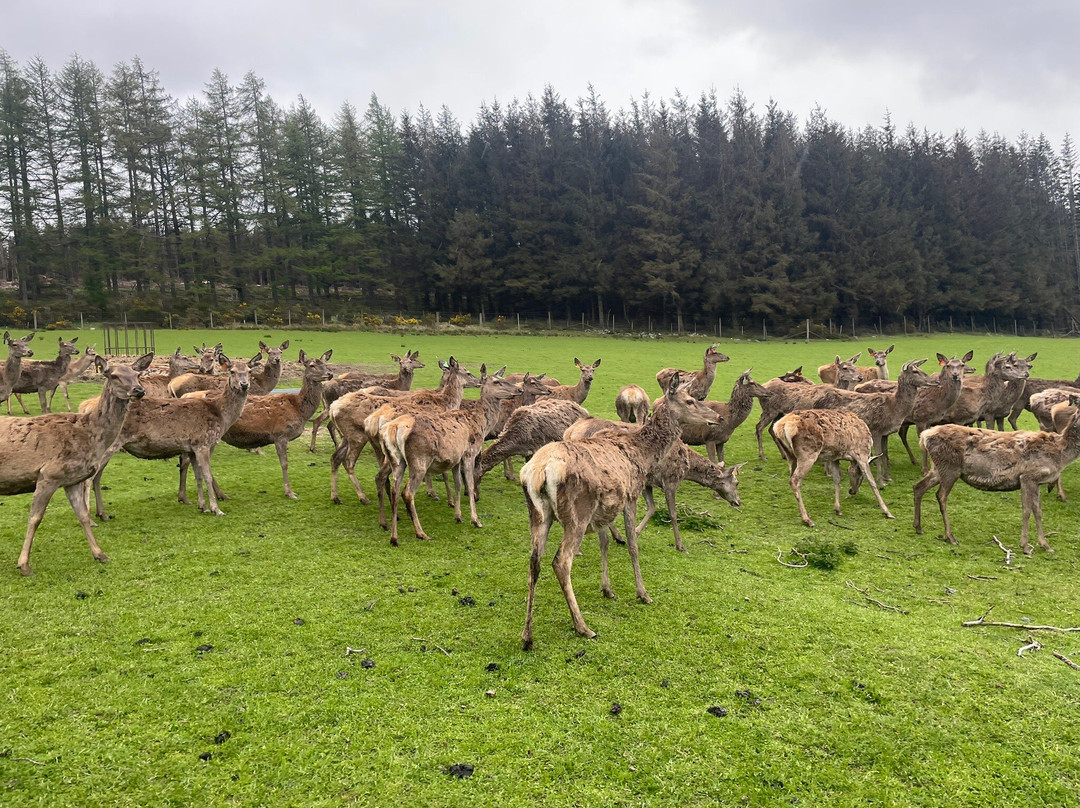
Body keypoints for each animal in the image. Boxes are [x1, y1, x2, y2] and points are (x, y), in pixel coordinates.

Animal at [2, 353, 150, 575]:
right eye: (113, 375)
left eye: (137, 374)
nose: (139, 390)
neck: (88, 435)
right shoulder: (48, 475)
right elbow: (35, 518)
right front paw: (24, 565)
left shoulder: (72, 480)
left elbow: (83, 515)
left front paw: (100, 554)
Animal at [81, 354, 251, 519]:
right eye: (232, 371)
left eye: (249, 371)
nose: (244, 384)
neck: (221, 416)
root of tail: (87, 409)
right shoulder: (203, 442)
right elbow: (207, 476)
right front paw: (216, 509)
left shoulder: (192, 448)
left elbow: (198, 476)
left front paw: (203, 506)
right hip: (109, 446)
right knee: (88, 478)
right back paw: (90, 517)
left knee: (97, 477)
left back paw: (102, 514)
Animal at [378, 365, 519, 545]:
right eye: (497, 382)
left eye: (504, 379)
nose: (519, 389)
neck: (480, 424)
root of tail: (393, 428)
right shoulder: (469, 453)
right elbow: (469, 485)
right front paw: (476, 520)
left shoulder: (456, 459)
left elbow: (458, 484)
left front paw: (458, 516)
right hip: (419, 459)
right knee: (407, 492)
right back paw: (421, 533)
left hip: (396, 460)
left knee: (394, 489)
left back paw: (393, 536)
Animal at [520, 374, 723, 648]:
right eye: (690, 400)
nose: (718, 417)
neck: (643, 455)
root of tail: (539, 471)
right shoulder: (630, 496)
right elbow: (632, 545)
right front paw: (643, 593)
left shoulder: (603, 510)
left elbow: (605, 542)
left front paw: (607, 589)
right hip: (577, 513)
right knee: (561, 561)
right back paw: (583, 627)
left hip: (539, 514)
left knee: (534, 561)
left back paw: (527, 636)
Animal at [913, 399, 1080, 555]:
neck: (1061, 455)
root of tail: (924, 437)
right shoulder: (1028, 477)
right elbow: (1026, 510)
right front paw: (1025, 547)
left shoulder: (1037, 482)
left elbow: (1038, 511)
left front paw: (1046, 545)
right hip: (950, 468)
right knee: (941, 495)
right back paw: (950, 536)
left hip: (937, 469)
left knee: (918, 486)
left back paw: (918, 527)